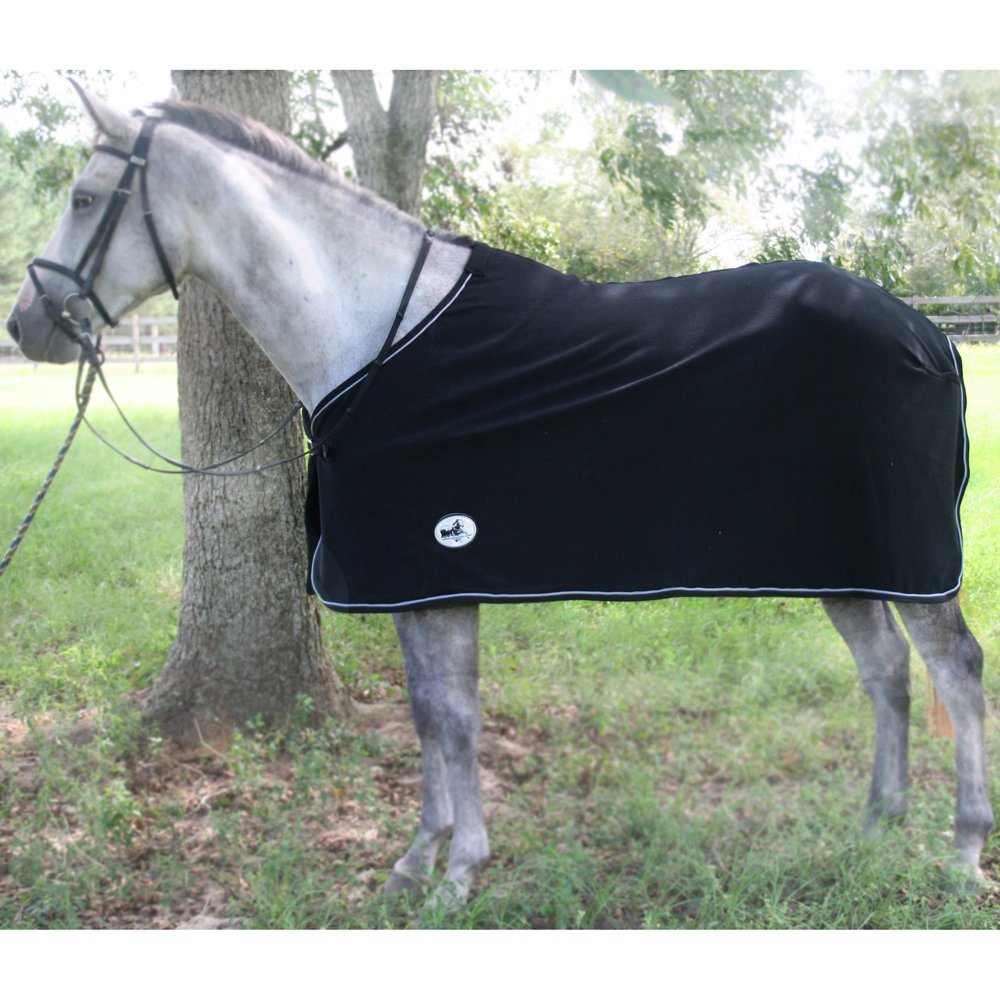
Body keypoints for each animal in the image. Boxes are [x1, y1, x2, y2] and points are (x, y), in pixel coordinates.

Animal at [6, 85, 993, 907]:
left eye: (84, 198)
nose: (27, 324)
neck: (377, 334)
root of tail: (930, 333)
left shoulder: (438, 570)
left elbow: (454, 721)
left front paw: (456, 875)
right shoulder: (413, 581)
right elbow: (429, 716)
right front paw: (418, 862)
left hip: (911, 562)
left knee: (955, 668)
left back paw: (960, 853)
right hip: (843, 557)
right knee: (886, 671)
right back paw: (875, 828)